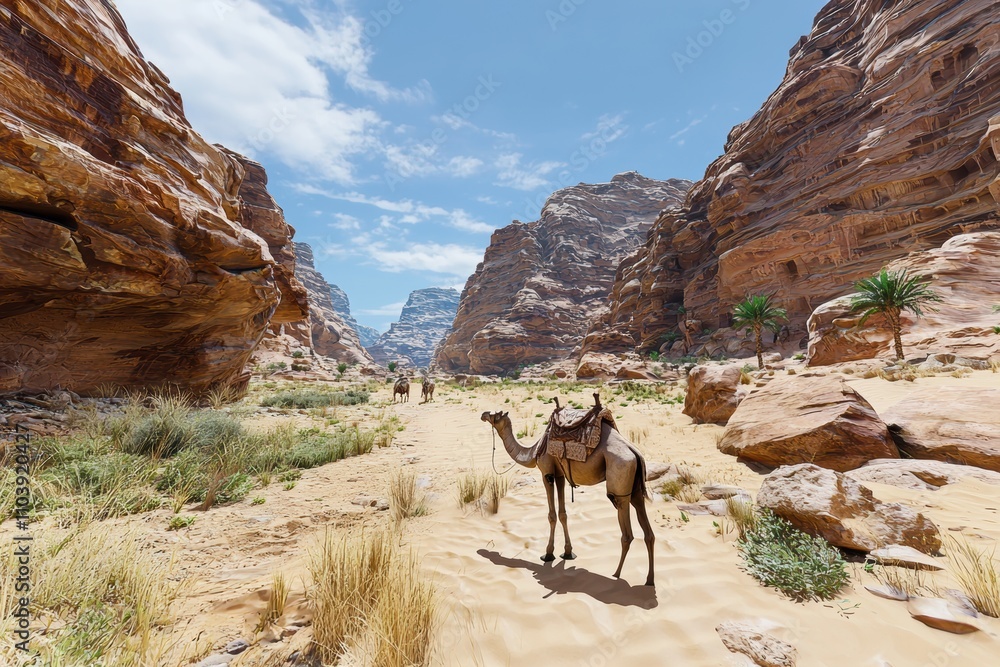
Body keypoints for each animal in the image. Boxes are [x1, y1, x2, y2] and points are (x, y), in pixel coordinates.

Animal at [480, 395, 655, 586]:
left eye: (496, 415)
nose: (483, 414)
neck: (535, 450)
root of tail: (636, 454)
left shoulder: (547, 473)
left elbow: (552, 515)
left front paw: (548, 554)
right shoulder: (560, 475)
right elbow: (563, 514)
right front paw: (567, 552)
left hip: (620, 486)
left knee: (627, 534)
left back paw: (616, 574)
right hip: (636, 490)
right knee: (649, 533)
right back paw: (649, 580)